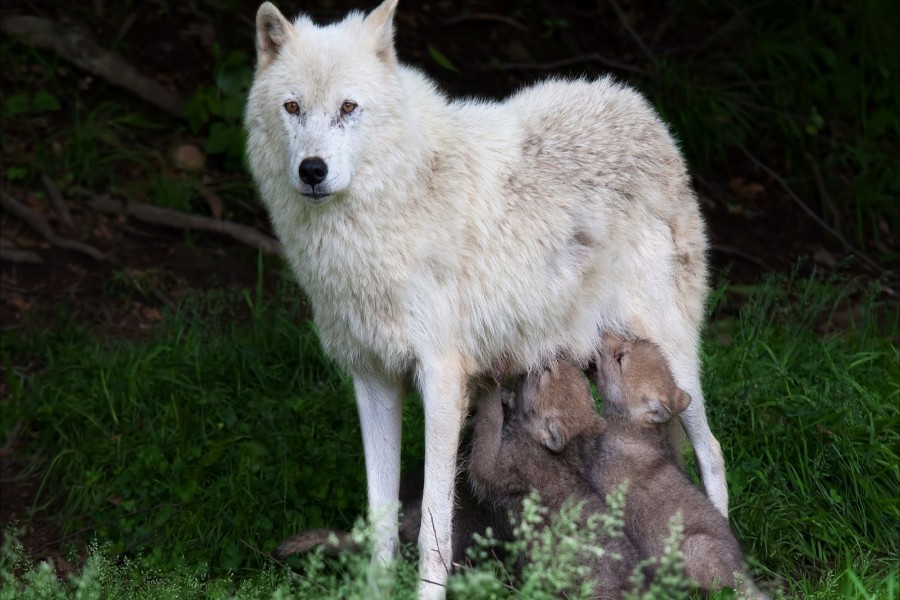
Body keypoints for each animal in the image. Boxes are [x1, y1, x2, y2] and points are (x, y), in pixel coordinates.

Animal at [246, 3, 732, 596]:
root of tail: (637, 107)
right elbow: (380, 518)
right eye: (293, 107)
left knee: (713, 452)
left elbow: (433, 524)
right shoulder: (373, 378)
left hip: (673, 358)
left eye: (348, 108)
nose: (312, 170)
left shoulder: (440, 379)